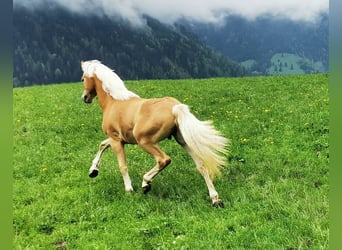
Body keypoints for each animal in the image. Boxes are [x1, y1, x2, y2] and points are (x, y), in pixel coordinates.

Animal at [80, 60, 230, 207]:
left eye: (83, 79)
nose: (85, 98)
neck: (114, 102)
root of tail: (175, 107)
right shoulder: (118, 139)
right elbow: (102, 145)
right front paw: (93, 171)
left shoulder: (116, 140)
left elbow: (122, 166)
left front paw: (129, 190)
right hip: (182, 140)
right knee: (201, 166)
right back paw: (215, 199)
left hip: (145, 141)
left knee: (164, 160)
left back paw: (146, 184)